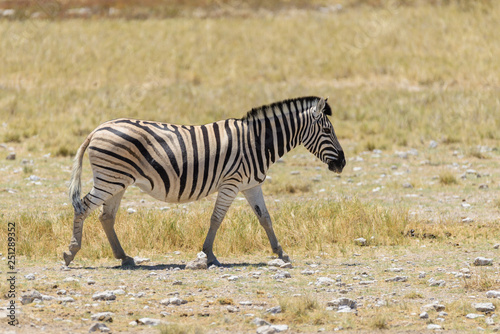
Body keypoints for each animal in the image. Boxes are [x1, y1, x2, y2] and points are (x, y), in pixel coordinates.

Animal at [63, 96, 344, 266]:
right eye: (328, 130)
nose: (342, 163)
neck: (256, 142)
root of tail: (97, 129)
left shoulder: (251, 185)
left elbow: (265, 218)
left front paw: (281, 253)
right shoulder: (232, 182)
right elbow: (216, 218)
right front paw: (209, 255)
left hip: (117, 181)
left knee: (106, 217)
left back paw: (124, 257)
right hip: (110, 179)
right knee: (83, 207)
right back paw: (71, 252)